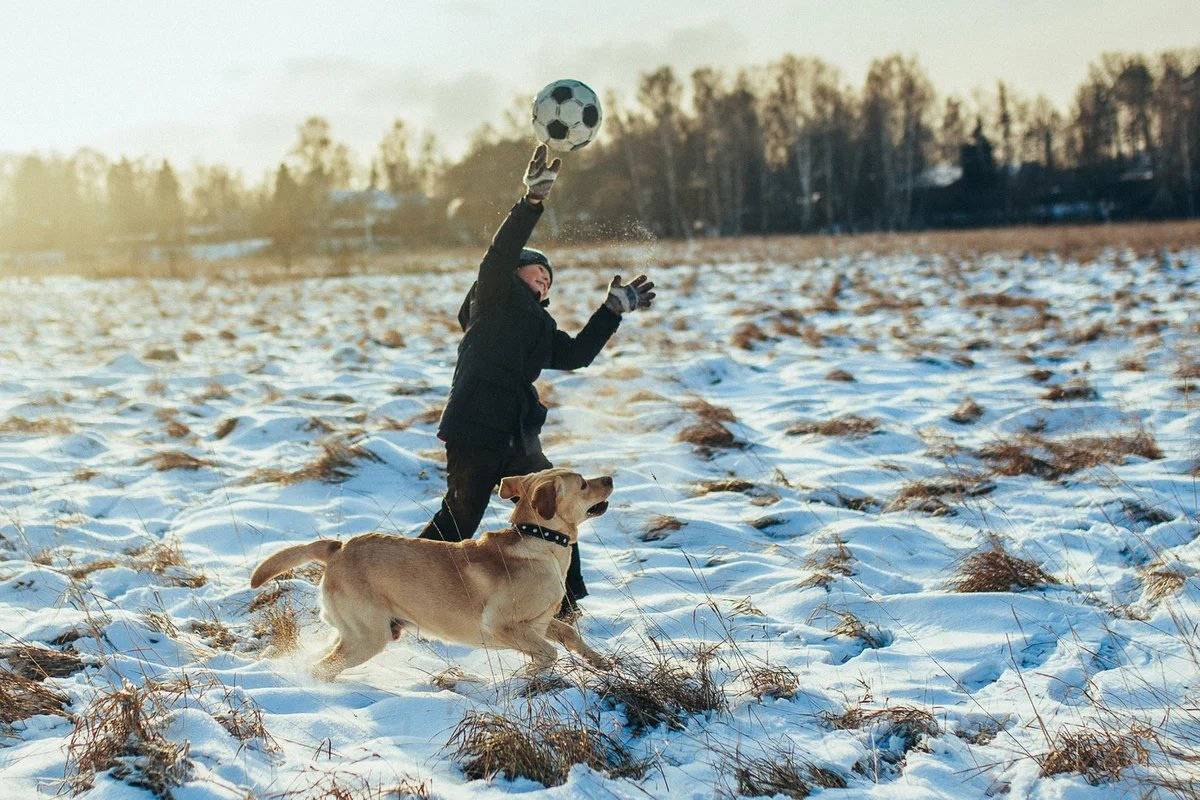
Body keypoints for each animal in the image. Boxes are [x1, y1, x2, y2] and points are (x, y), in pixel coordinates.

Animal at [247, 465, 614, 681]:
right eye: (584, 484)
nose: (610, 478)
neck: (539, 539)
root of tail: (338, 547)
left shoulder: (540, 622)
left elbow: (569, 634)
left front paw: (600, 662)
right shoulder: (502, 625)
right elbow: (548, 652)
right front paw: (524, 677)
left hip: (357, 632)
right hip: (367, 637)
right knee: (321, 668)